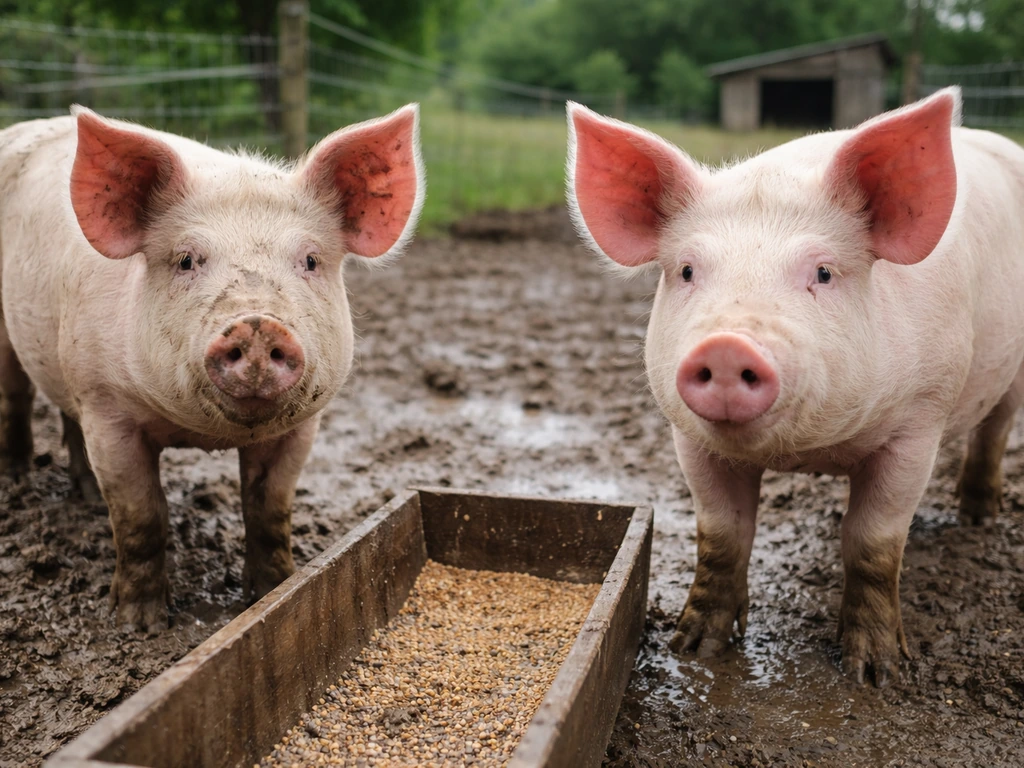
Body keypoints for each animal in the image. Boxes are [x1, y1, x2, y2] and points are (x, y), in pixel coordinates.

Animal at [0, 104, 424, 631]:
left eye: (310, 260)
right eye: (186, 260)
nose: (258, 325)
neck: (201, 435)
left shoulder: (302, 427)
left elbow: (269, 511)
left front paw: (274, 591)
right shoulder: (106, 407)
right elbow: (140, 516)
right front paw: (139, 623)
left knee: (62, 410)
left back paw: (85, 495)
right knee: (16, 394)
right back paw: (18, 476)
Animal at [566, 87, 1024, 687]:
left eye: (823, 272)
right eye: (687, 271)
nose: (728, 346)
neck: (809, 454)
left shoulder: (919, 423)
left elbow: (874, 542)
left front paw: (876, 674)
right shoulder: (689, 439)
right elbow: (722, 535)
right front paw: (693, 649)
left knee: (996, 429)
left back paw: (977, 518)